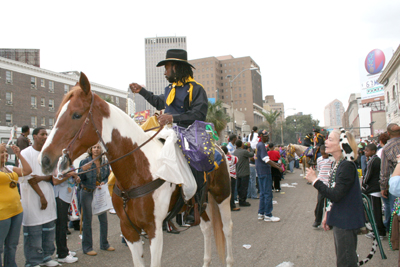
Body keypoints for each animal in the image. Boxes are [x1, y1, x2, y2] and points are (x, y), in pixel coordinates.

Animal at [39, 73, 233, 267]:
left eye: (76, 115)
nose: (45, 159)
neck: (137, 171)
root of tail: (219, 148)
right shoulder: (129, 230)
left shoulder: (154, 229)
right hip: (202, 204)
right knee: (206, 228)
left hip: (222, 196)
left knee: (227, 228)